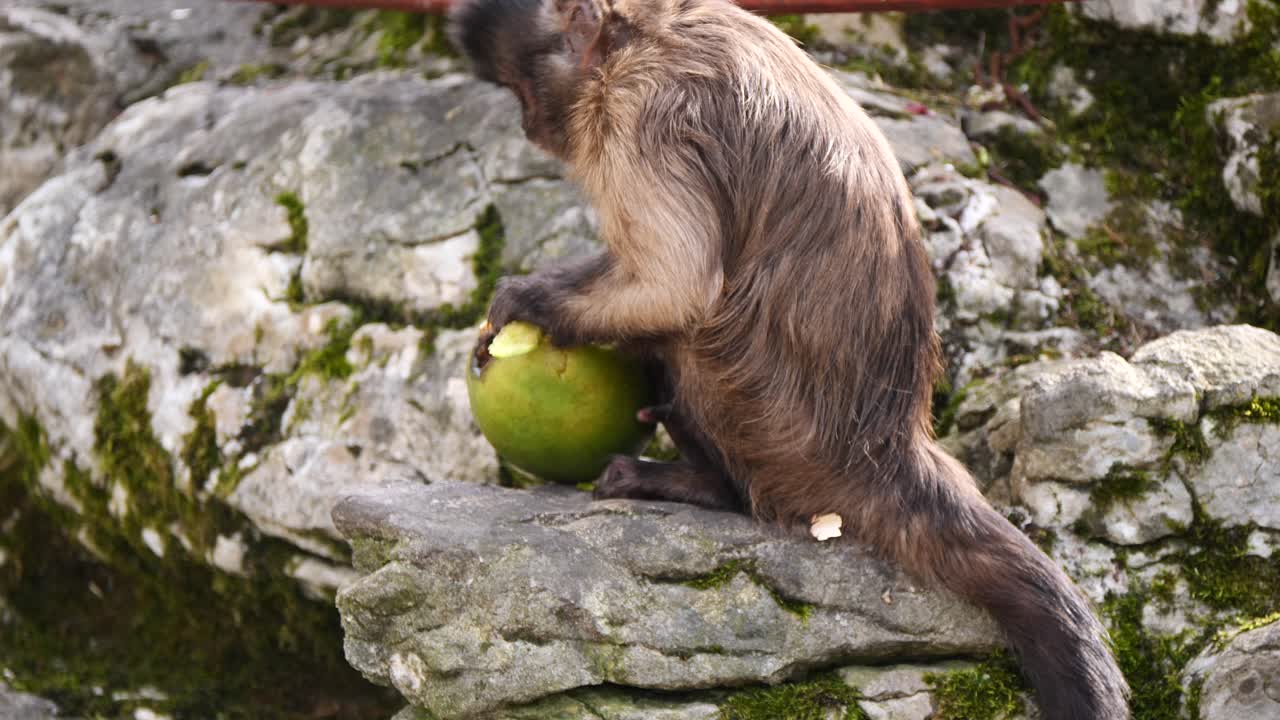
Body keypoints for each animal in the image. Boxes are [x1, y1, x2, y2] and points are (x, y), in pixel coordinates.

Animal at [447, 1, 1131, 717]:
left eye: (521, 88)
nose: (527, 125)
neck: (639, 34)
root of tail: (888, 448)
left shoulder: (645, 110)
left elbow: (677, 285)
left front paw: (533, 301)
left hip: (773, 428)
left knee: (688, 334)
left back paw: (707, 487)